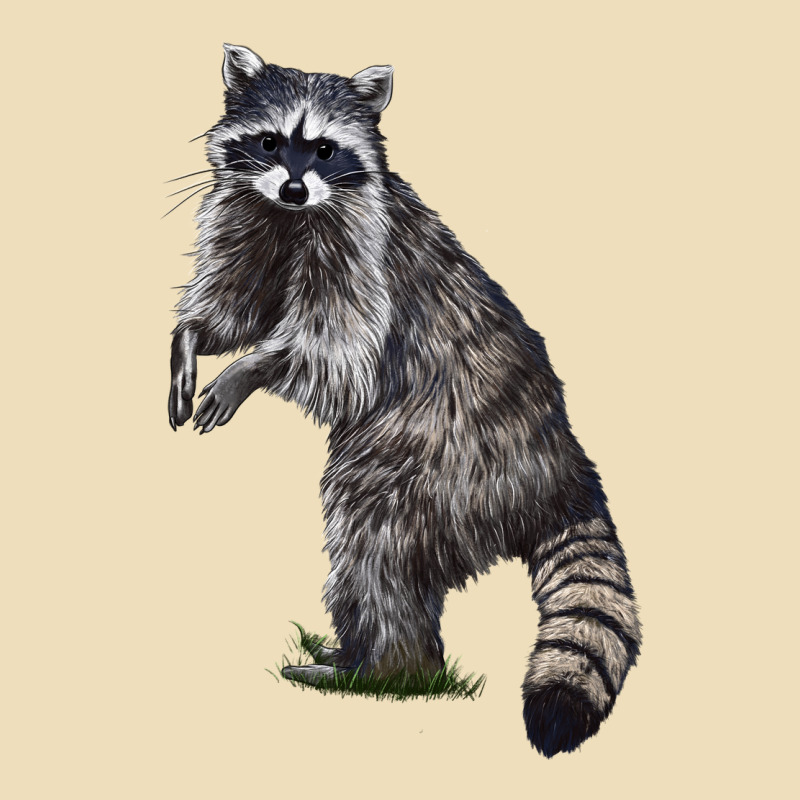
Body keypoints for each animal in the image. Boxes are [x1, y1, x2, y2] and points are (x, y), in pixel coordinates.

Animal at [167, 44, 641, 757]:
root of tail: (559, 466)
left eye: (325, 149)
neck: (292, 217)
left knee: (374, 541)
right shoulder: (248, 218)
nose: (294, 188)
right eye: (270, 141)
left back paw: (386, 668)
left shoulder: (363, 255)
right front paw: (192, 338)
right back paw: (358, 656)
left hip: (440, 461)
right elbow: (235, 304)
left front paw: (252, 367)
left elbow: (338, 349)